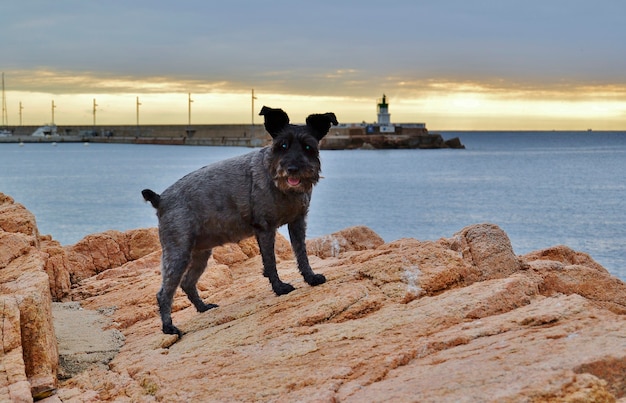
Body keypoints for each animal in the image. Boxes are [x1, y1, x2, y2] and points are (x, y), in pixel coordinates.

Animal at [143, 105, 336, 336]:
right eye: (282, 145)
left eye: (308, 146)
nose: (292, 169)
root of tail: (160, 199)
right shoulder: (265, 229)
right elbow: (270, 262)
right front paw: (280, 288)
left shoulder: (298, 223)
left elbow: (302, 255)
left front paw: (311, 278)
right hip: (178, 253)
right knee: (165, 292)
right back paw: (169, 327)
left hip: (200, 253)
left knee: (187, 283)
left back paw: (203, 307)